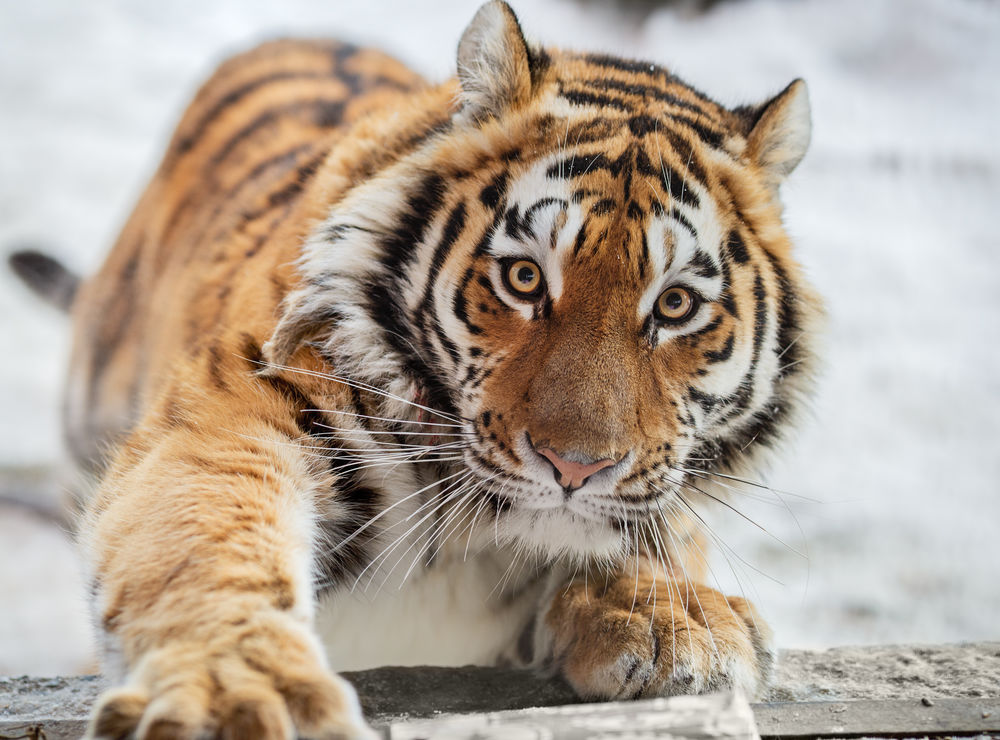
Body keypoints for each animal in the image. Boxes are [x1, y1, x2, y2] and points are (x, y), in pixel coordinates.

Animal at [9, 2, 820, 736]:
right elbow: (206, 537)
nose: (576, 467)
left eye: (676, 304)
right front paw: (235, 691)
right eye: (524, 279)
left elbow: (657, 525)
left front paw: (674, 623)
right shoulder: (247, 401)